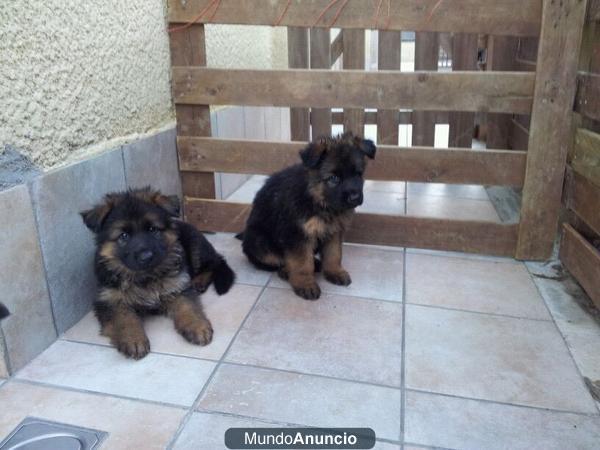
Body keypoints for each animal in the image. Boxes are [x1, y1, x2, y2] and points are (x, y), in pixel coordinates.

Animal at [81, 186, 236, 358]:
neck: (145, 277)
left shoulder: (178, 287)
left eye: (152, 229)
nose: (146, 257)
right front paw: (133, 339)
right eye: (124, 236)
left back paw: (199, 281)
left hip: (195, 247)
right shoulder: (109, 301)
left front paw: (197, 326)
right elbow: (124, 318)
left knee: (215, 262)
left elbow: (188, 307)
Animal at [238, 134, 376, 302]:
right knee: (272, 261)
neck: (318, 199)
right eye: (333, 178)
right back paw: (286, 271)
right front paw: (305, 284)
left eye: (358, 174)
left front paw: (335, 272)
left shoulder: (334, 231)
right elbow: (302, 263)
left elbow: (334, 254)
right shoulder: (297, 234)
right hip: (260, 242)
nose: (355, 198)